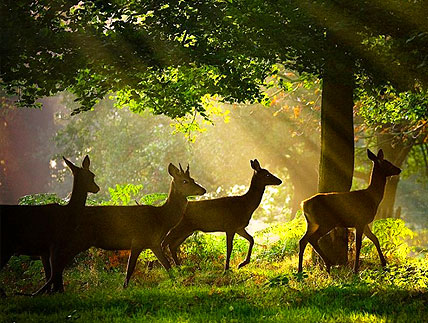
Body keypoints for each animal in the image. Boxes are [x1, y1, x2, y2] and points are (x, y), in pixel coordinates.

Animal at [0, 157, 98, 296]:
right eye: (91, 176)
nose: (97, 188)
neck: (68, 215)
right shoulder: (55, 243)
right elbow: (55, 271)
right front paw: (57, 291)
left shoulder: (44, 250)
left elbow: (49, 273)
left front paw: (48, 292)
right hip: (6, 245)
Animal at [33, 163, 206, 294]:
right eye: (185, 181)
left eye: (192, 179)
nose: (203, 190)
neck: (161, 219)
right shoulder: (138, 240)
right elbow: (130, 268)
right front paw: (124, 288)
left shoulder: (154, 243)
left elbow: (167, 266)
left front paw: (178, 283)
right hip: (78, 239)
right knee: (58, 262)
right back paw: (44, 291)